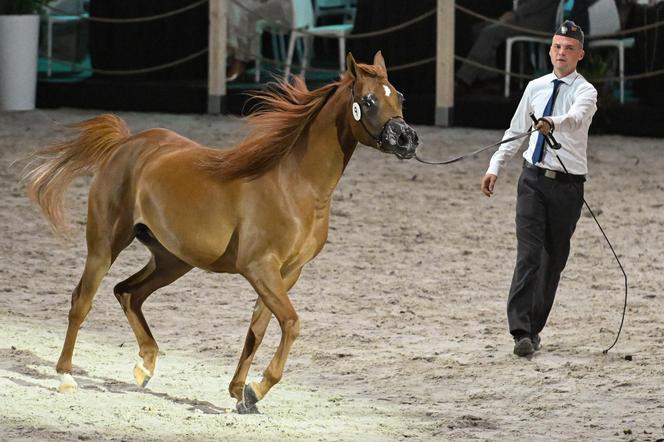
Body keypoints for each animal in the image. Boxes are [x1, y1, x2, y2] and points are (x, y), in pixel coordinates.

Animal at [27, 52, 420, 414]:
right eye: (368, 100)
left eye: (399, 96)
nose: (407, 138)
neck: (294, 185)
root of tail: (127, 143)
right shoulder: (259, 267)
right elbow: (291, 323)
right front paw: (257, 389)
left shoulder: (287, 272)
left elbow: (258, 329)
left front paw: (241, 393)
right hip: (106, 245)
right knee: (82, 301)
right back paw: (66, 376)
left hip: (172, 260)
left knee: (128, 293)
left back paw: (145, 367)